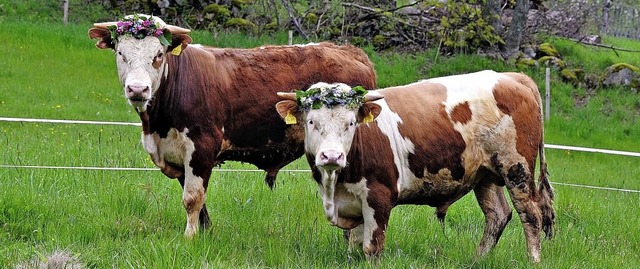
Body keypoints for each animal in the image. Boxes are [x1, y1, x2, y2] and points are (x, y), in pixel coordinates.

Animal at [85, 14, 376, 237]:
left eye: (158, 54)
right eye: (120, 53)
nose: (137, 89)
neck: (157, 124)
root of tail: (351, 51)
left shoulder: (201, 147)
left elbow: (192, 198)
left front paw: (189, 237)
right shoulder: (179, 155)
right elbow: (197, 199)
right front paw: (205, 232)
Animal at [276, 70, 556, 260]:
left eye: (351, 123)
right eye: (311, 122)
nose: (332, 156)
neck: (335, 186)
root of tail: (511, 76)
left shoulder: (379, 197)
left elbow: (372, 247)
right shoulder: (354, 204)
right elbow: (354, 245)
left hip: (516, 168)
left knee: (531, 215)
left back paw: (533, 260)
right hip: (485, 174)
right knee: (498, 214)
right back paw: (478, 260)